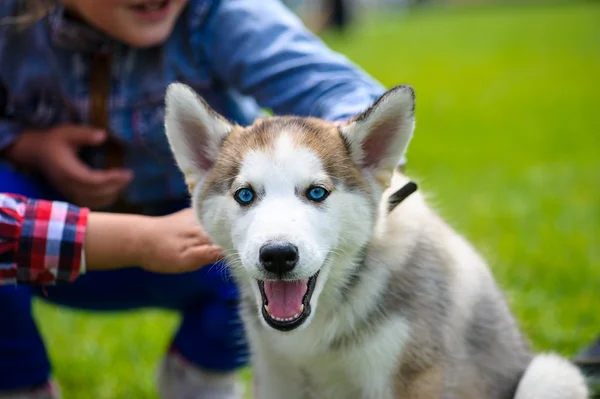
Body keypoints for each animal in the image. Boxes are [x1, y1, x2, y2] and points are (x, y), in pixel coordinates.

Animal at [162, 83, 588, 398]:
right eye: (245, 195)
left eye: (317, 193)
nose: (278, 255)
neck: (314, 330)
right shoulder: (277, 377)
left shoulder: (416, 378)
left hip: (552, 373)